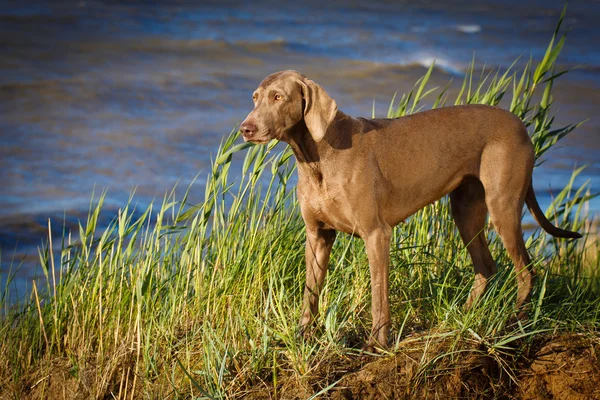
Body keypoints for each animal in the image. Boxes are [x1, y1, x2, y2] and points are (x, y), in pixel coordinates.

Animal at [239, 69, 580, 350]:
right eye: (255, 98)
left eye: (278, 97)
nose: (245, 128)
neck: (316, 157)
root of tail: (520, 124)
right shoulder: (317, 236)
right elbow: (310, 292)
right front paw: (302, 338)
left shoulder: (376, 234)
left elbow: (379, 295)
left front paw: (377, 344)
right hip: (466, 210)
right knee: (487, 266)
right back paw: (462, 316)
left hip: (503, 206)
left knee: (526, 271)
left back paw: (516, 322)